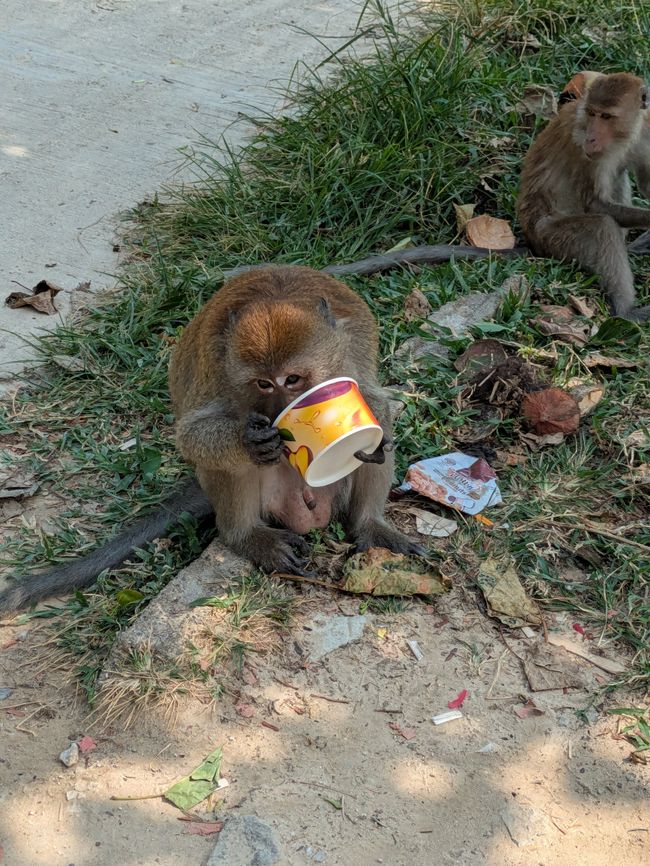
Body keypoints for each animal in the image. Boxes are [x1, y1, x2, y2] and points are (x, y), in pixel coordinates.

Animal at [0, 266, 422, 611]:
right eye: (263, 383)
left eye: (293, 379)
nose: (278, 411)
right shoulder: (217, 366)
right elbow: (192, 437)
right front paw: (251, 441)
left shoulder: (348, 351)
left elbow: (376, 405)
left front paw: (370, 440)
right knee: (228, 465)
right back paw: (245, 535)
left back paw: (369, 526)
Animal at [517, 72, 650, 320]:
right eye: (592, 113)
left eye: (606, 116)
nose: (591, 138)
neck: (625, 135)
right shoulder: (579, 143)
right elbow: (595, 205)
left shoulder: (647, 132)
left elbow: (646, 185)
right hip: (549, 236)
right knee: (602, 227)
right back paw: (626, 312)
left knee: (619, 174)